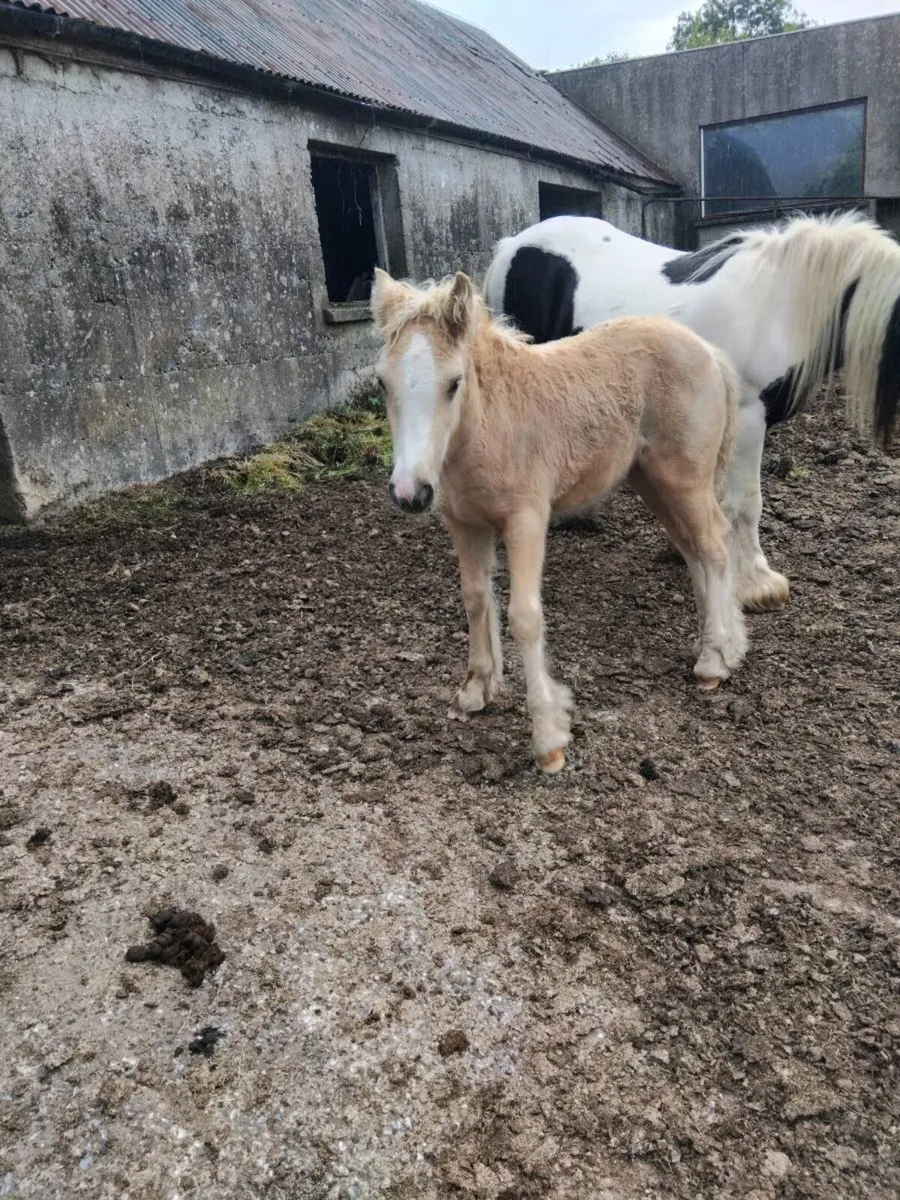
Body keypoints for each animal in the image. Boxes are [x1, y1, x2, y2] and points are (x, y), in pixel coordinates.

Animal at [371, 267, 748, 774]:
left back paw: (714, 660)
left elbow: (525, 616)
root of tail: (708, 350)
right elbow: (475, 598)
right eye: (382, 383)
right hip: (652, 480)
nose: (410, 493)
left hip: (684, 477)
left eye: (453, 383)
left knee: (715, 545)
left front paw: (549, 739)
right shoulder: (464, 523)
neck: (487, 428)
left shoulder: (527, 520)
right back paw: (715, 645)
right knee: (693, 549)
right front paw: (477, 688)